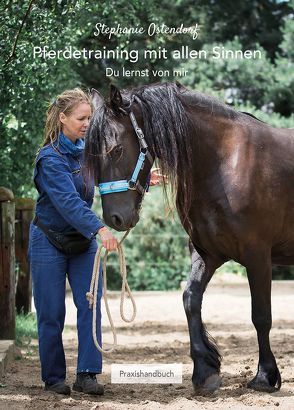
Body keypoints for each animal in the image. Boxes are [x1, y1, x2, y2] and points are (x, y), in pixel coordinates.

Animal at [83, 82, 294, 394]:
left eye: (117, 149)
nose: (114, 219)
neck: (224, 162)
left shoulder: (257, 256)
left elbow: (261, 315)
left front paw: (265, 377)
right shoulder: (206, 253)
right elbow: (190, 300)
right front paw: (205, 371)